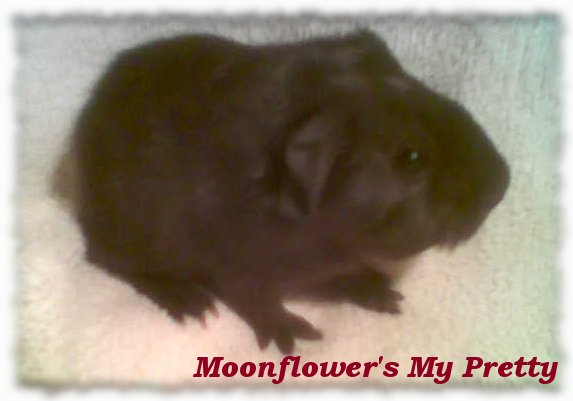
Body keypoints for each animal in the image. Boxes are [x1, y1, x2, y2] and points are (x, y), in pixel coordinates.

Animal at [72, 29, 510, 354]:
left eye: (444, 100)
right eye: (411, 157)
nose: (502, 184)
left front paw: (386, 294)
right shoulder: (238, 270)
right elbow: (260, 302)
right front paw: (300, 336)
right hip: (132, 243)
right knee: (108, 262)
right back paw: (193, 305)